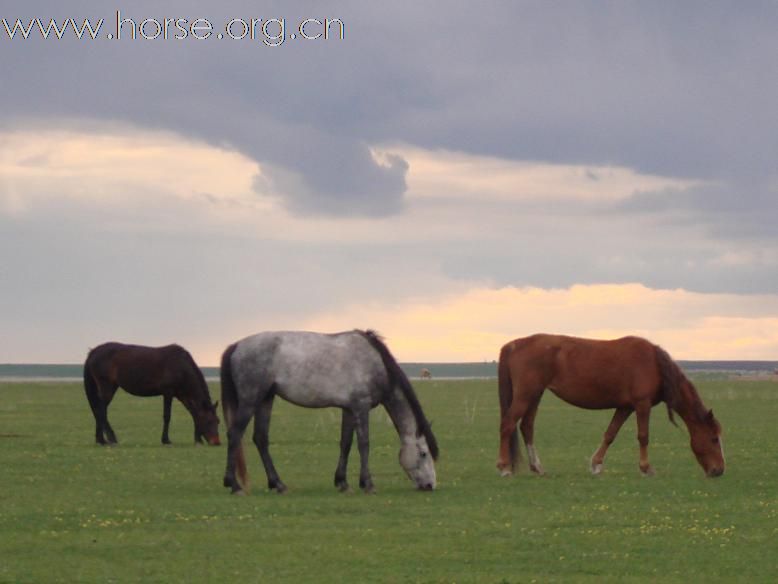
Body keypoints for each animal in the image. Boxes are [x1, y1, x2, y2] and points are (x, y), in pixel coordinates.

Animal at [83, 342, 220, 448]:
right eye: (209, 421)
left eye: (218, 421)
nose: (216, 442)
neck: (181, 366)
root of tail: (93, 352)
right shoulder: (168, 392)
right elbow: (167, 416)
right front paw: (166, 440)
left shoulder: (183, 396)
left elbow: (194, 414)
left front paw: (198, 440)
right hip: (106, 387)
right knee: (101, 410)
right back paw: (108, 439)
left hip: (111, 387)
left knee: (99, 410)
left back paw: (102, 439)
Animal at [220, 328, 436, 492]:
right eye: (424, 453)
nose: (430, 485)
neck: (374, 363)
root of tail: (236, 346)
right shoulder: (361, 407)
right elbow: (364, 444)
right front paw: (367, 483)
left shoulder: (349, 409)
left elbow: (346, 443)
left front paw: (342, 482)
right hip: (250, 401)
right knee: (235, 435)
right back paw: (234, 485)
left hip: (265, 399)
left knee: (261, 438)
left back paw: (278, 484)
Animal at [498, 336, 720, 476]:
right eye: (714, 439)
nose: (719, 471)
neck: (654, 364)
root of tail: (514, 344)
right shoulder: (642, 404)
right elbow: (643, 436)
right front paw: (646, 468)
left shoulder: (625, 407)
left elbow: (610, 434)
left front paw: (596, 465)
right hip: (526, 395)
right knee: (508, 424)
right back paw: (504, 467)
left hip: (535, 395)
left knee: (527, 426)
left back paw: (537, 467)